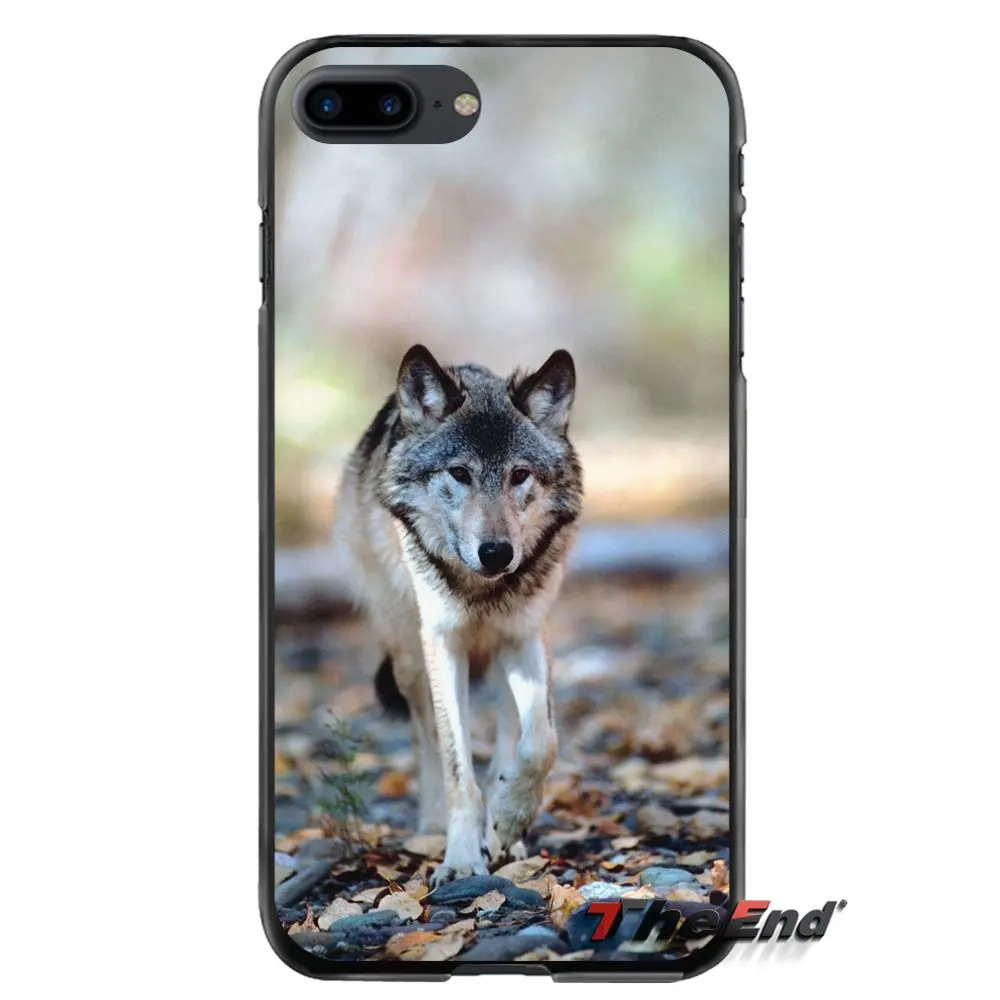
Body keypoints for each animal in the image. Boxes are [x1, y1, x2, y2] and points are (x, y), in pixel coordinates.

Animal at [333, 344, 583, 884]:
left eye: (519, 475)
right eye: (460, 474)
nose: (496, 552)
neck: (481, 590)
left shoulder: (524, 635)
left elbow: (542, 743)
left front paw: (511, 814)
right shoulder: (443, 645)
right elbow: (455, 764)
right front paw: (463, 858)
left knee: (512, 735)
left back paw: (507, 832)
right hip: (408, 655)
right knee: (424, 736)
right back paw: (432, 827)